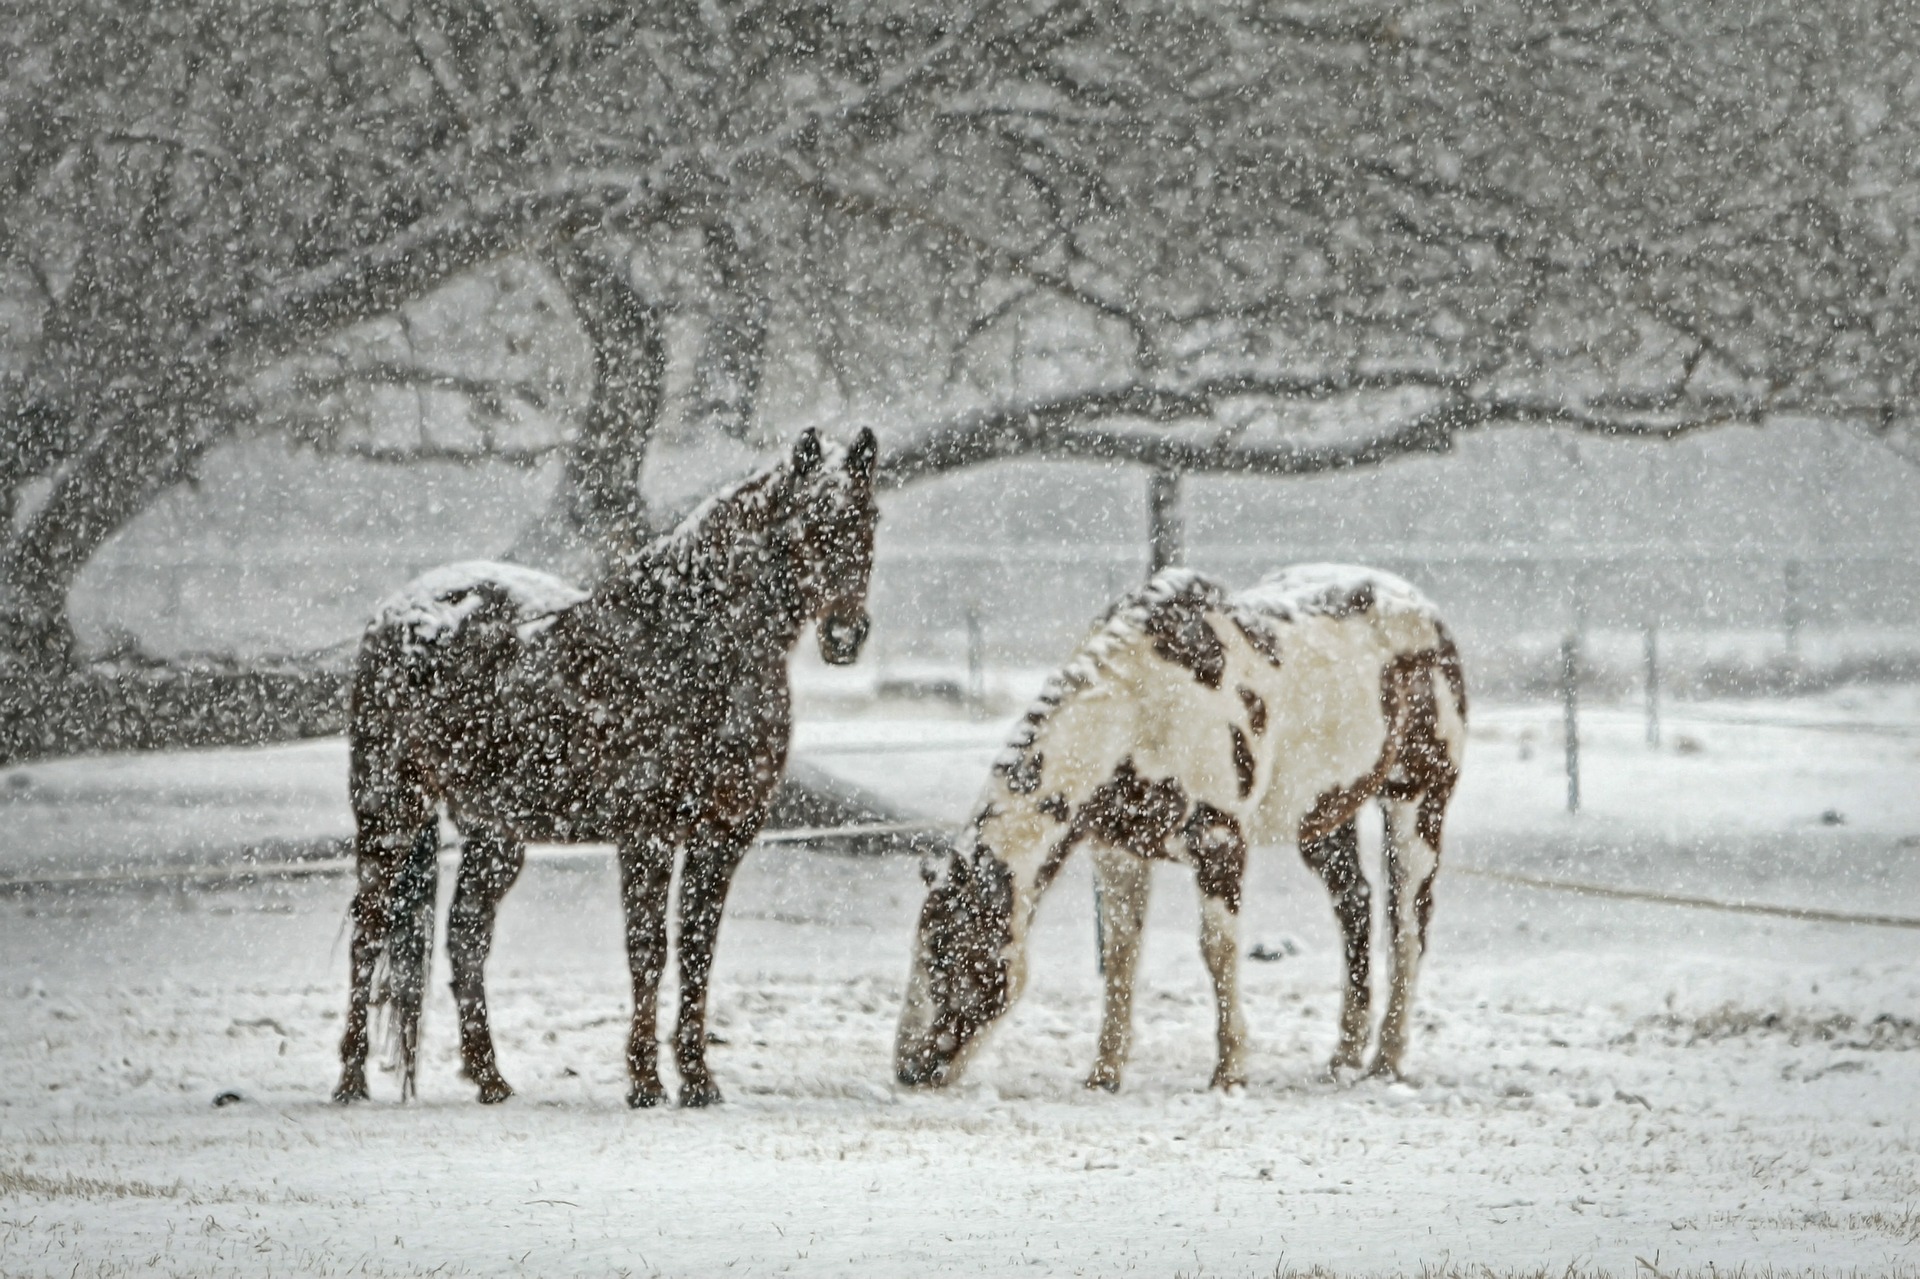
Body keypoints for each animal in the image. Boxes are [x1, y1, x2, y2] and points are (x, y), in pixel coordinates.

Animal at [334, 428, 875, 1106]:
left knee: (465, 936)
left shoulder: (723, 835)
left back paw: (490, 1078)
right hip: (390, 811)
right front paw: (644, 1081)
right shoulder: (648, 832)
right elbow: (649, 950)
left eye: (869, 518)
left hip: (495, 833)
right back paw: (351, 1079)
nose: (846, 635)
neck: (691, 645)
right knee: (369, 929)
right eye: (808, 522)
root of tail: (397, 613)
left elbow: (697, 950)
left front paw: (698, 1080)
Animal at [898, 564, 1466, 1090]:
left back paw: (1387, 1060)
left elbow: (1217, 951)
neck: (1140, 708)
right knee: (1356, 907)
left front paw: (1230, 1072)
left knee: (1407, 924)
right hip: (1324, 819)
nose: (909, 1070)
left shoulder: (1219, 843)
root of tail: (1427, 612)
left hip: (1417, 803)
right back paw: (1343, 1058)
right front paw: (1104, 1074)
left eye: (951, 956)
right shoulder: (1119, 852)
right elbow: (1121, 955)